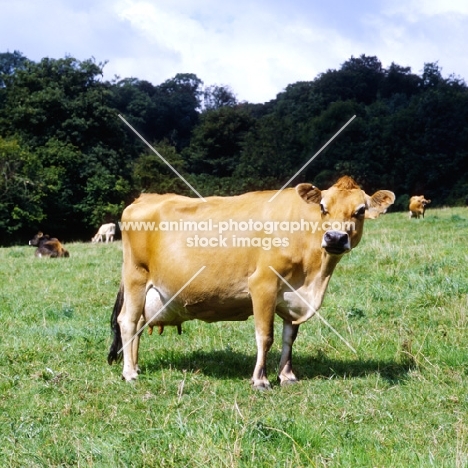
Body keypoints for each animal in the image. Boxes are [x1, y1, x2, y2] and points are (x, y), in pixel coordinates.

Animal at [107, 176, 394, 388]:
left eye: (360, 211)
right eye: (323, 207)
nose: (335, 237)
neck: (314, 277)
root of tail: (145, 197)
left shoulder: (293, 296)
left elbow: (289, 337)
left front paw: (287, 376)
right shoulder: (263, 284)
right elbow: (265, 336)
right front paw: (260, 380)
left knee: (138, 324)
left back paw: (135, 366)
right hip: (136, 275)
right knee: (127, 321)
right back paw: (130, 373)